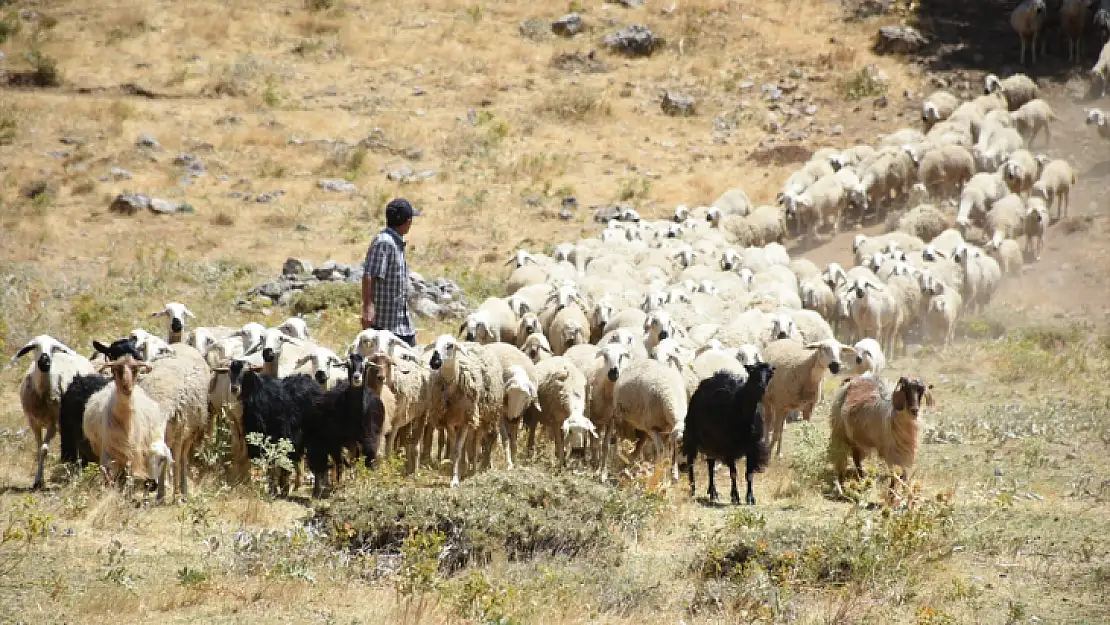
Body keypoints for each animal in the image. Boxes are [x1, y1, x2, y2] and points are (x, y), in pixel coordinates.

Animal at [11, 335, 94, 490]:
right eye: (34, 346)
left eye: (54, 348)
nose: (45, 361)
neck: (42, 394)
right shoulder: (33, 422)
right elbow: (39, 449)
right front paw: (38, 480)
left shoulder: (53, 423)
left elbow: (44, 449)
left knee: (77, 443)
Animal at [82, 355, 170, 501]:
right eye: (117, 369)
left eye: (135, 370)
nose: (126, 387)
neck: (124, 420)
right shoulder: (107, 449)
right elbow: (106, 474)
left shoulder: (133, 453)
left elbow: (129, 476)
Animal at [304, 353, 386, 499]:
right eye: (348, 365)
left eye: (365, 365)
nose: (357, 377)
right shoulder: (334, 441)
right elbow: (340, 463)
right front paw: (338, 485)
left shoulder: (370, 440)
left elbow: (368, 460)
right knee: (340, 461)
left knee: (353, 458)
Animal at [679, 364, 777, 506]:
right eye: (753, 373)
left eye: (769, 374)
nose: (761, 388)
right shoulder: (728, 447)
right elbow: (733, 473)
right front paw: (735, 497)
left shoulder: (752, 447)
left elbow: (749, 474)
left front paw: (750, 498)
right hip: (692, 435)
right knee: (690, 462)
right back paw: (693, 490)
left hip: (711, 442)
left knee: (710, 465)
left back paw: (713, 493)